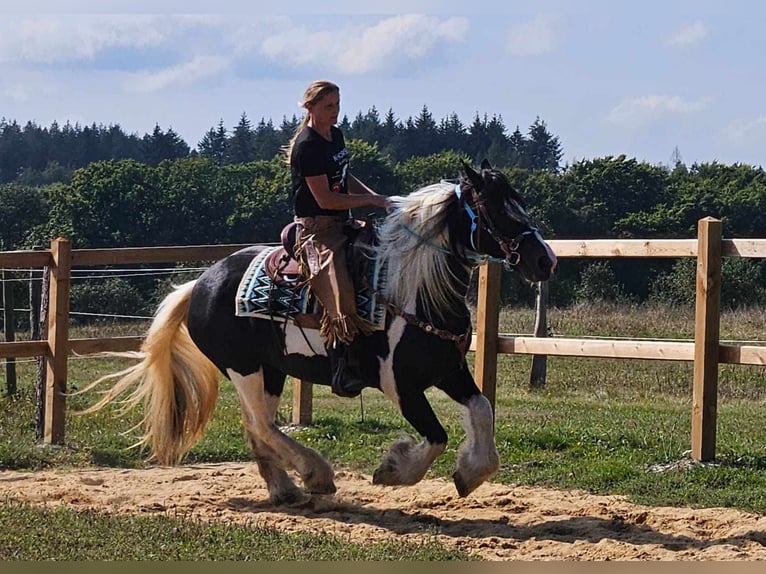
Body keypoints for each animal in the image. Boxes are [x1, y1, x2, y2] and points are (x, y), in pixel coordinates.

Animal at [85, 160, 560, 506]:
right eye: (497, 210)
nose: (545, 261)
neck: (415, 290)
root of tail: (200, 284)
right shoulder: (400, 385)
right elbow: (437, 437)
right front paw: (393, 470)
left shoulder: (449, 370)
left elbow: (482, 410)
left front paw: (470, 474)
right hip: (243, 367)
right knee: (262, 424)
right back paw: (315, 475)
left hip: (271, 370)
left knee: (256, 425)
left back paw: (285, 488)